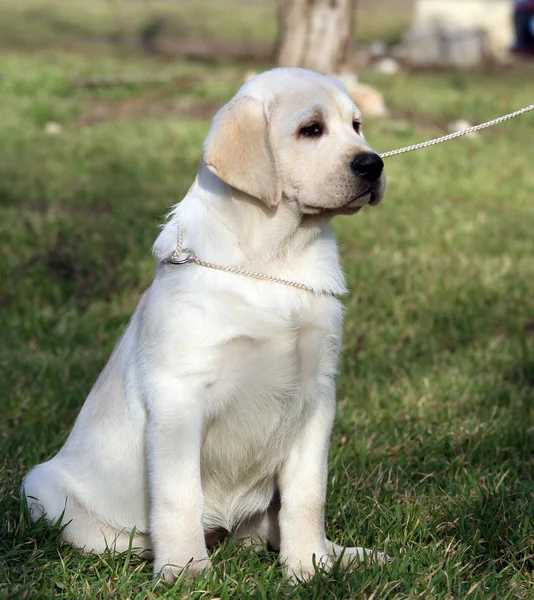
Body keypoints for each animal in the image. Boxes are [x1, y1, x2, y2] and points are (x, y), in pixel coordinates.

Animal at [23, 67, 388, 580]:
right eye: (310, 129)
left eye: (356, 126)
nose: (373, 165)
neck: (275, 259)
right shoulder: (179, 396)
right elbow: (180, 496)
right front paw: (187, 572)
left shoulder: (317, 395)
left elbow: (307, 495)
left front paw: (309, 567)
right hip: (44, 490)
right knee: (117, 539)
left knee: (267, 524)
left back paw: (344, 555)